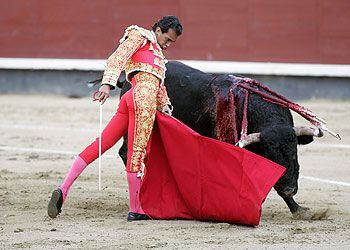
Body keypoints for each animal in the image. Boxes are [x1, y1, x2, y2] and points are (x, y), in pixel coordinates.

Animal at [117, 61, 318, 219]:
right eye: (271, 156)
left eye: (294, 153)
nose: (289, 189)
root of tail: (128, 78)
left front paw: (298, 210)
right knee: (127, 153)